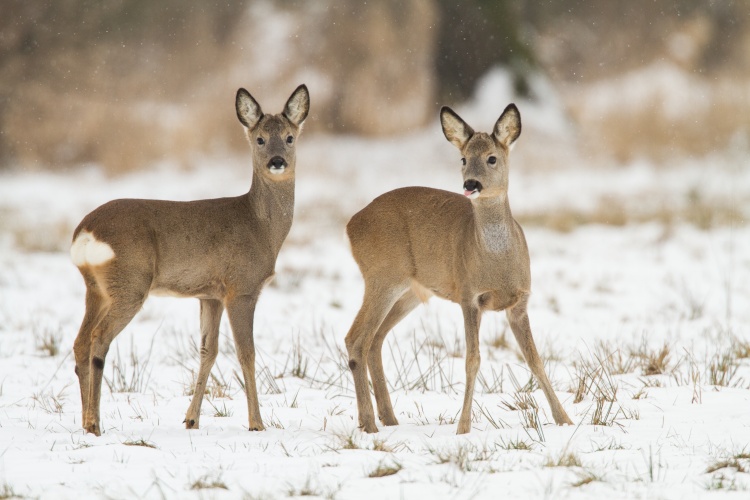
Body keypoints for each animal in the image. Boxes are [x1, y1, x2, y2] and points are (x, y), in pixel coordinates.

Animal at [71, 83, 312, 434]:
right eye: (260, 139)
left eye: (290, 137)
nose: (277, 161)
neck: (261, 227)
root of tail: (85, 231)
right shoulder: (241, 288)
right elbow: (246, 353)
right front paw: (257, 423)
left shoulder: (210, 294)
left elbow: (207, 351)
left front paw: (191, 419)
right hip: (130, 283)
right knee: (98, 339)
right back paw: (94, 424)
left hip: (97, 288)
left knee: (80, 342)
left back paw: (85, 422)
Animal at [346, 102, 576, 434]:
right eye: (464, 159)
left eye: (492, 158)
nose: (471, 184)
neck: (498, 264)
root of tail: (350, 225)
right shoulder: (470, 297)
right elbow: (472, 360)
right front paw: (463, 427)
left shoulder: (520, 301)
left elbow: (535, 359)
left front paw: (564, 419)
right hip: (381, 276)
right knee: (356, 339)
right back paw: (368, 424)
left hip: (409, 292)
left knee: (375, 340)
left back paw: (389, 419)